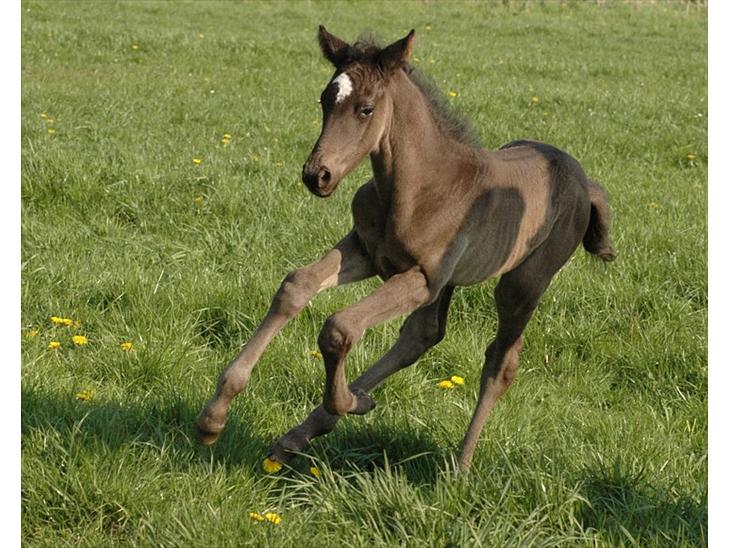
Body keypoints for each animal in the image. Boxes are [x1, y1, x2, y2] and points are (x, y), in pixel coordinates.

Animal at [196, 26, 615, 472]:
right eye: (325, 100)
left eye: (366, 109)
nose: (317, 175)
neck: (421, 186)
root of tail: (586, 183)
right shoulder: (367, 250)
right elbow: (296, 286)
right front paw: (213, 417)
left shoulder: (422, 278)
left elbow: (340, 326)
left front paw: (349, 401)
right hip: (450, 282)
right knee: (422, 334)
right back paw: (300, 434)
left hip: (523, 283)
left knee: (500, 361)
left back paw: (460, 465)